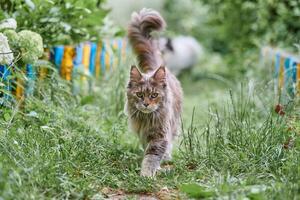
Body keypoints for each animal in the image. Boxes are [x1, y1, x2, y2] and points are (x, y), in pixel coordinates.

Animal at [125, 8, 183, 177]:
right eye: (139, 95)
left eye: (154, 95)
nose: (146, 104)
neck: (147, 118)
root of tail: (155, 68)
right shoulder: (145, 133)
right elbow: (148, 153)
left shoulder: (160, 135)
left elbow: (152, 156)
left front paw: (146, 174)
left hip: (174, 125)